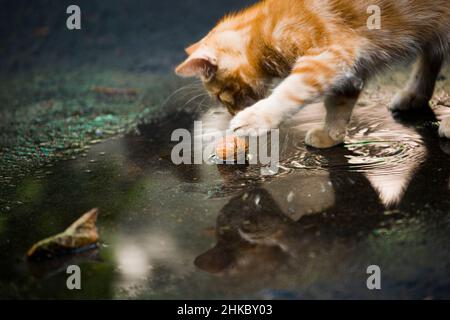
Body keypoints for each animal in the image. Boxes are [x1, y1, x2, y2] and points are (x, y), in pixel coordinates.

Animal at [176, 0, 450, 148]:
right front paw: (331, 134)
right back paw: (414, 94)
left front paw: (255, 119)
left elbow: (289, 91)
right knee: (432, 54)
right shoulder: (349, 70)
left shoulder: (328, 57)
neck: (264, 31)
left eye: (220, 97)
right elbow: (338, 104)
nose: (232, 113)